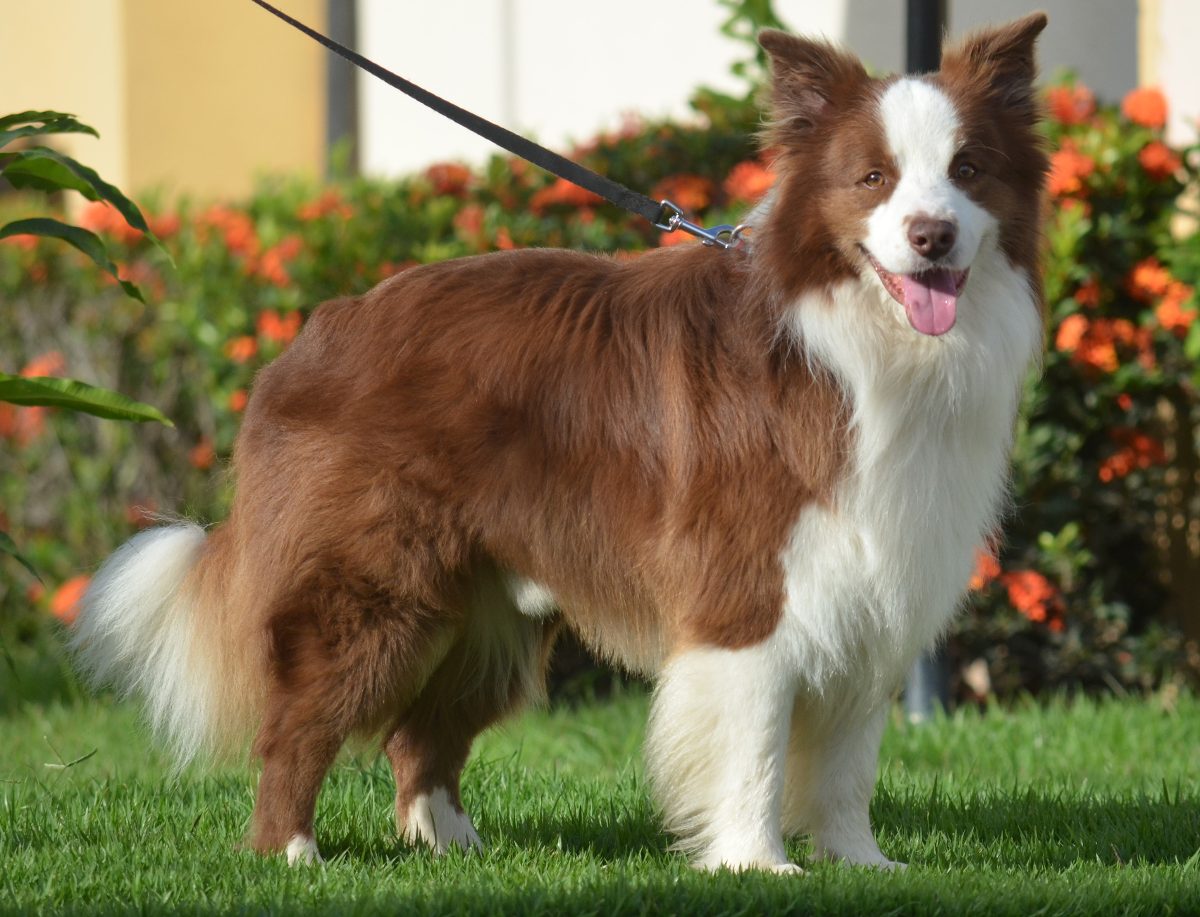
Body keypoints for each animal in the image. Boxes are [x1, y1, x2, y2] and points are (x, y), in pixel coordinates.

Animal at [75, 14, 1051, 873]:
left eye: (968, 169)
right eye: (873, 177)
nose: (933, 235)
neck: (854, 343)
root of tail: (320, 327)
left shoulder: (871, 580)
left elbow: (847, 758)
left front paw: (863, 864)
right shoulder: (747, 589)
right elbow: (754, 744)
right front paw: (757, 864)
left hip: (491, 612)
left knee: (419, 734)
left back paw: (453, 847)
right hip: (376, 587)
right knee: (298, 722)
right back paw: (292, 854)